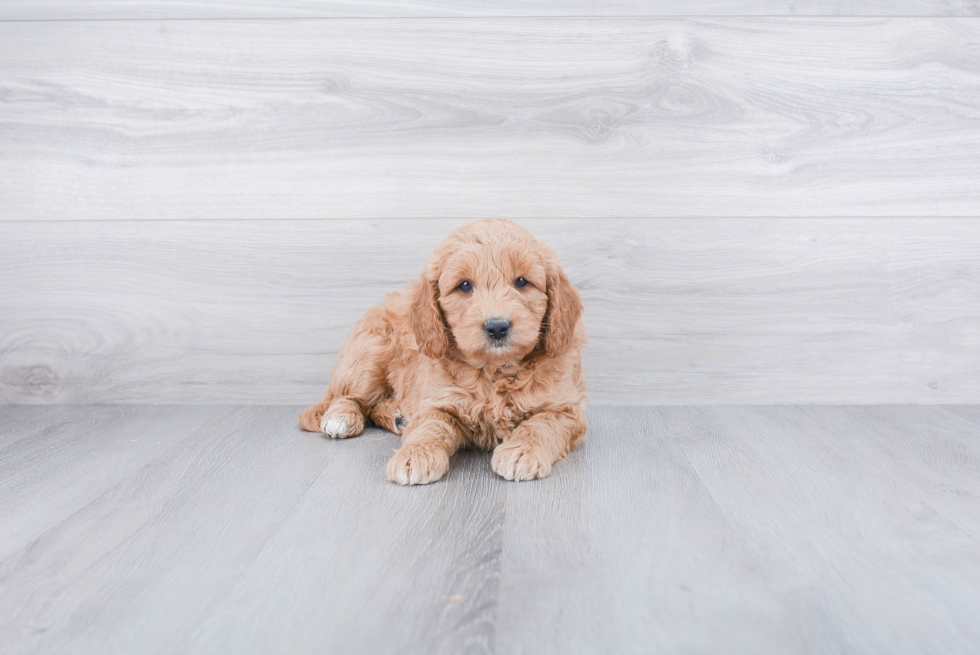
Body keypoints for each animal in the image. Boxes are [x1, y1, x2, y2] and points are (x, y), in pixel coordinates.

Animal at [298, 218, 584, 484]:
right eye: (465, 285)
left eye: (522, 282)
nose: (497, 327)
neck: (494, 370)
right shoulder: (436, 400)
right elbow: (430, 425)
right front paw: (414, 454)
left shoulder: (567, 410)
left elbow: (541, 423)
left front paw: (522, 451)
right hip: (369, 356)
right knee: (348, 397)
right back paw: (341, 418)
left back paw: (397, 417)